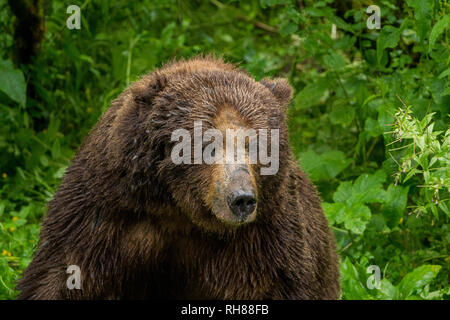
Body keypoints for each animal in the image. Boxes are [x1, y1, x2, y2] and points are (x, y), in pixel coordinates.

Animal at [17, 56, 342, 298]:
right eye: (207, 143)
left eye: (258, 144)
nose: (241, 199)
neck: (181, 210)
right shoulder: (107, 211)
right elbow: (61, 275)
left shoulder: (269, 235)